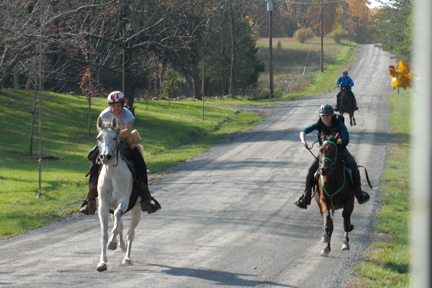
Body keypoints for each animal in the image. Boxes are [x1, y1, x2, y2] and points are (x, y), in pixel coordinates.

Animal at [95, 116, 141, 272]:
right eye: (99, 138)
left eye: (115, 137)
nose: (106, 156)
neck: (112, 175)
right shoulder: (103, 206)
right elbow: (104, 233)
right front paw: (102, 262)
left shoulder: (124, 200)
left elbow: (118, 216)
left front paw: (112, 243)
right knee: (120, 225)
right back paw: (120, 246)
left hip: (137, 209)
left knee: (130, 233)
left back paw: (126, 258)